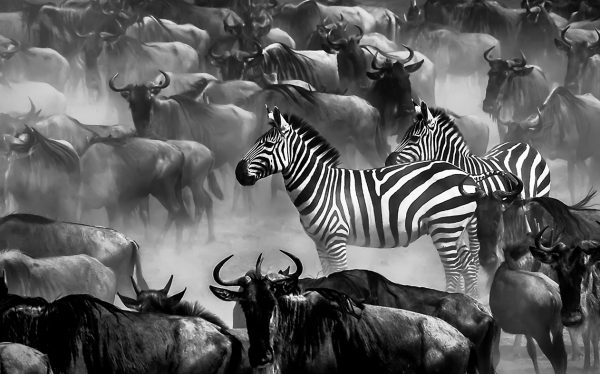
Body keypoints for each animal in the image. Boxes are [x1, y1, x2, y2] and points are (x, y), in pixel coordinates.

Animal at [237, 104, 486, 296]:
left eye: (268, 145)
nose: (239, 172)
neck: (320, 186)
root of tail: (465, 175)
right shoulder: (320, 243)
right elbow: (327, 274)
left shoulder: (336, 239)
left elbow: (339, 274)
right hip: (454, 228)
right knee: (466, 265)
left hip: (445, 227)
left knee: (453, 271)